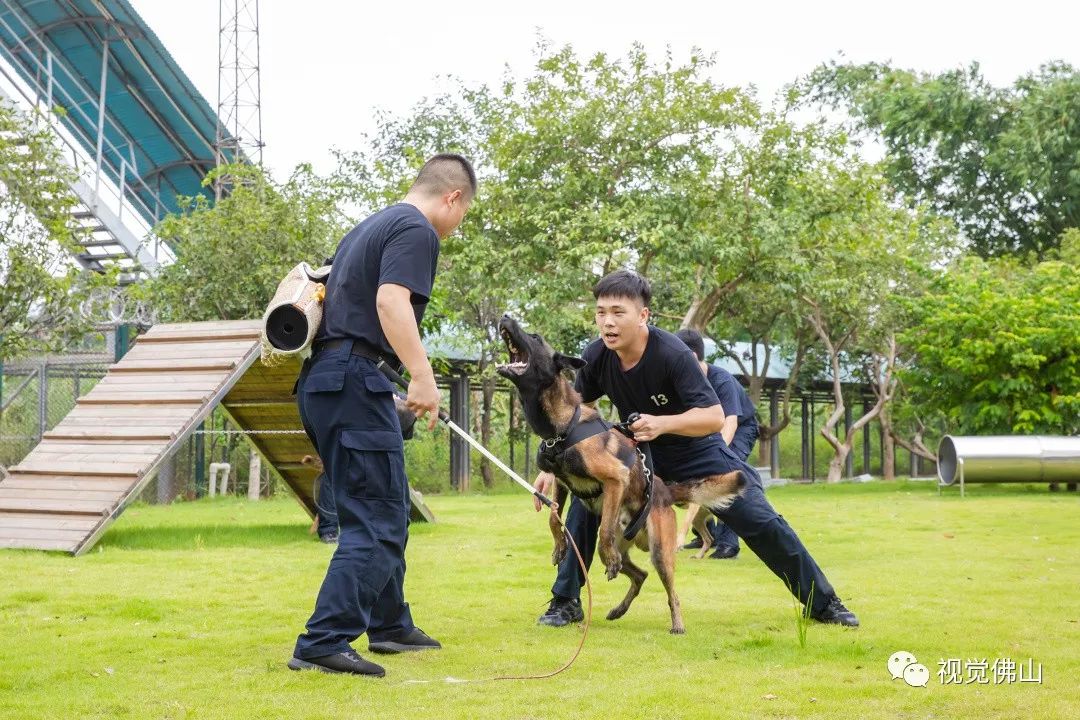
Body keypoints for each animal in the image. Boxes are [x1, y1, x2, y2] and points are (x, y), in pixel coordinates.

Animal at [494, 317, 743, 634]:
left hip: (660, 551)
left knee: (669, 590)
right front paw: (560, 546)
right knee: (641, 574)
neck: (562, 427)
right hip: (631, 552)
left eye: (535, 337)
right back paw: (618, 609)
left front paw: (595, 551)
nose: (505, 317)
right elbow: (553, 516)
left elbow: (603, 531)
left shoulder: (616, 480)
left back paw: (677, 624)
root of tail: (665, 491)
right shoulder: (561, 482)